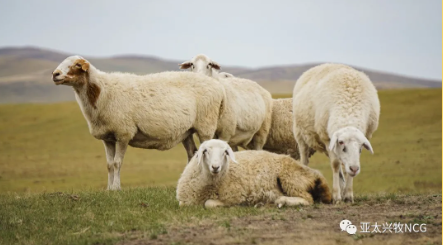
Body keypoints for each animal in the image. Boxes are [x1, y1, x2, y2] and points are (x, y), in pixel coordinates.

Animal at [52, 56, 236, 191]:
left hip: (206, 125)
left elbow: (117, 163)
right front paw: (109, 189)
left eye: (76, 64)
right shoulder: (108, 137)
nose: (55, 74)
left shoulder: (123, 133)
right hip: (187, 131)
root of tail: (218, 87)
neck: (101, 91)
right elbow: (109, 165)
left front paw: (117, 188)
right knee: (192, 154)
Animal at [177, 139, 332, 208]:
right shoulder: (184, 202)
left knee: (308, 199)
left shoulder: (235, 197)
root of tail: (316, 174)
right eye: (205, 151)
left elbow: (209, 203)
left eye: (225, 152)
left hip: (290, 178)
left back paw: (281, 201)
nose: (215, 167)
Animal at [292, 62, 382, 203]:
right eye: (341, 142)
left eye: (361, 146)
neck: (348, 109)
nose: (355, 169)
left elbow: (346, 167)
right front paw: (336, 196)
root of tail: (325, 63)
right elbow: (335, 165)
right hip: (300, 136)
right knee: (305, 159)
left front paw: (348, 194)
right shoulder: (327, 138)